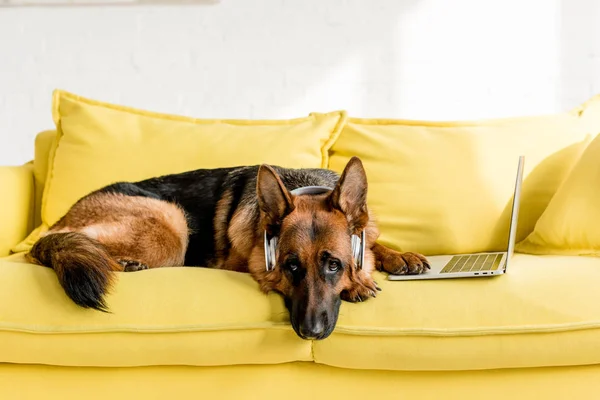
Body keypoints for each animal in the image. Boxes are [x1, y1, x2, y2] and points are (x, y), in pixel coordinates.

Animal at [28, 158, 428, 340]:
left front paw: (399, 257)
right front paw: (361, 281)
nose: (310, 332)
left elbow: (373, 240)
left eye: (334, 265)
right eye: (291, 267)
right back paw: (124, 263)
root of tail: (57, 223)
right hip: (173, 224)